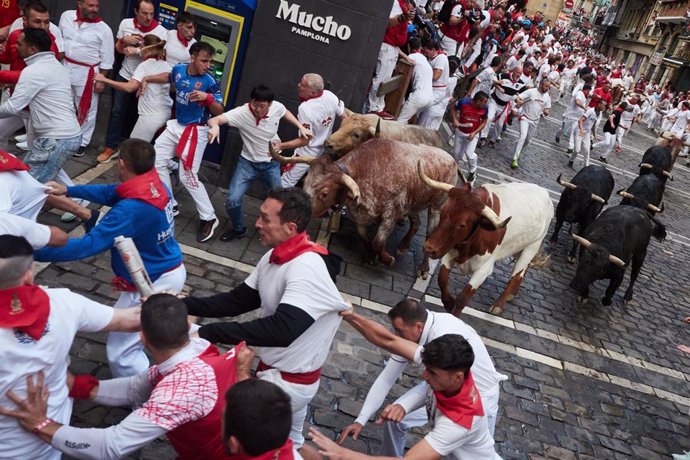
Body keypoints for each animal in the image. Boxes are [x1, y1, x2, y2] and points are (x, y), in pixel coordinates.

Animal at [270, 138, 456, 276]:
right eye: (304, 183)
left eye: (325, 193)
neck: (365, 172)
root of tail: (450, 158)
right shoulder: (359, 215)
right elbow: (364, 237)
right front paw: (371, 257)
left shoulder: (390, 215)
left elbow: (378, 242)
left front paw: (387, 260)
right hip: (412, 204)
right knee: (416, 222)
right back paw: (403, 247)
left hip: (436, 206)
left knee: (430, 235)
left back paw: (423, 268)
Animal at [414, 164, 552, 316]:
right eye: (443, 211)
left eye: (462, 224)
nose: (429, 247)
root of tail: (544, 193)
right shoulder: (449, 252)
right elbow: (442, 279)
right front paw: (449, 302)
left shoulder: (484, 269)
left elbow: (463, 298)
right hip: (519, 246)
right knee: (524, 270)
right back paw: (512, 294)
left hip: (532, 246)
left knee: (517, 274)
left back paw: (499, 304)